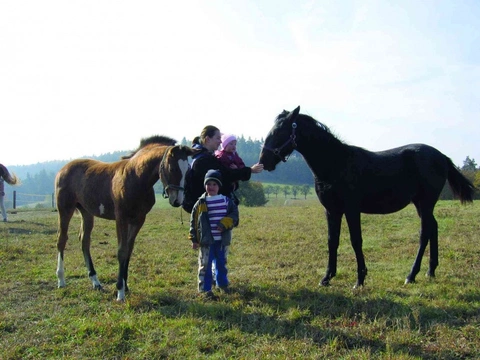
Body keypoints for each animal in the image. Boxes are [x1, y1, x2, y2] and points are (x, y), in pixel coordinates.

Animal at [54, 135, 193, 300]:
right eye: (172, 169)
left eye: (188, 170)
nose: (177, 201)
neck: (136, 178)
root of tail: (63, 169)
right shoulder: (121, 218)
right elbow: (121, 250)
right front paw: (120, 292)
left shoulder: (138, 220)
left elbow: (129, 250)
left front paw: (125, 286)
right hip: (65, 209)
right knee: (62, 239)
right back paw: (61, 280)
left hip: (86, 212)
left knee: (84, 240)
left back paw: (95, 282)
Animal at [260, 105, 474, 288]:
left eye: (279, 132)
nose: (264, 161)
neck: (335, 163)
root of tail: (441, 156)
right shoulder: (331, 211)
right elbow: (332, 241)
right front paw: (327, 278)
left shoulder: (352, 209)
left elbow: (356, 240)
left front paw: (360, 279)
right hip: (421, 204)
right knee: (433, 228)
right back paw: (430, 271)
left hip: (426, 202)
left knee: (424, 234)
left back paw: (411, 275)